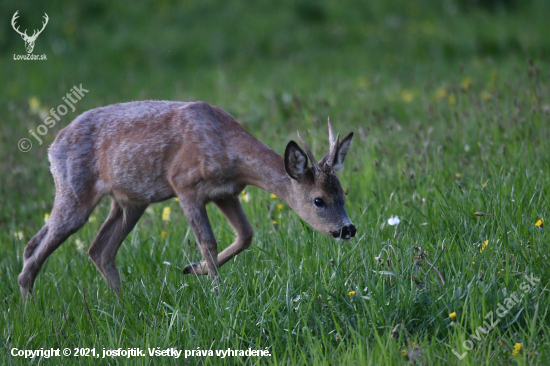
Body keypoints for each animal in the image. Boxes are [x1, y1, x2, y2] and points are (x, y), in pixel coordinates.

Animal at [18, 100, 358, 300]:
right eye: (319, 200)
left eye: (342, 192)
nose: (348, 229)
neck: (227, 148)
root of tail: (52, 147)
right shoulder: (185, 184)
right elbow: (208, 241)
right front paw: (219, 294)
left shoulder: (225, 193)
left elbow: (246, 235)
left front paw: (194, 270)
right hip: (75, 190)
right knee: (35, 250)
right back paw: (29, 308)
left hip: (130, 202)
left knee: (97, 249)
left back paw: (123, 303)